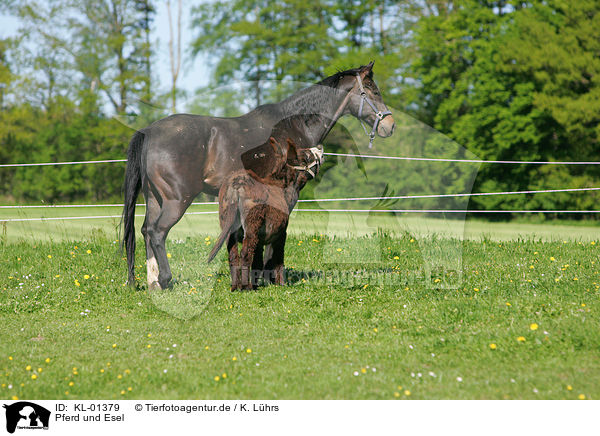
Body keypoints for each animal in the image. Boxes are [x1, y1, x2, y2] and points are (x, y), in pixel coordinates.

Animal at [121, 61, 394, 290]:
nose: (389, 126)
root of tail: (148, 132)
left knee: (146, 231)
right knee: (158, 232)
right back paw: (165, 280)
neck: (292, 125)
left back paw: (153, 283)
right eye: (372, 91)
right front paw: (268, 278)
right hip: (176, 200)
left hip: (155, 199)